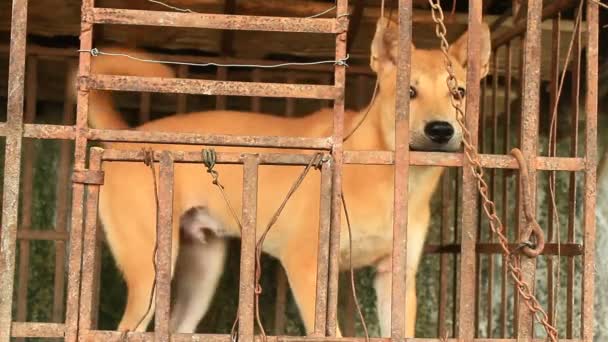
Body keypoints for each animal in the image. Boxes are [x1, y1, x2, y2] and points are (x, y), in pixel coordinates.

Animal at [83, 17, 492, 336]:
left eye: (459, 93)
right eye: (409, 92)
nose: (440, 130)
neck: (393, 178)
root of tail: (127, 137)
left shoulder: (395, 276)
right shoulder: (307, 265)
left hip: (202, 269)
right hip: (149, 271)